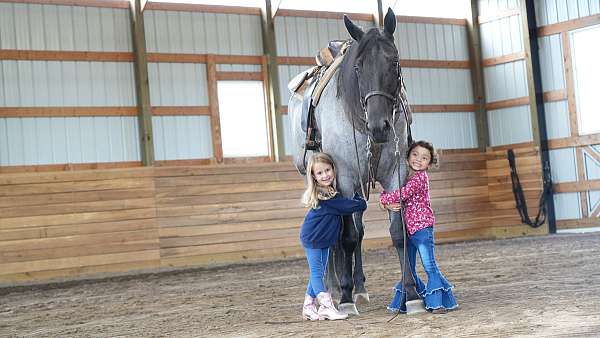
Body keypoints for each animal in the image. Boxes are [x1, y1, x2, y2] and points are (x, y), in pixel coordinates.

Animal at [288, 7, 410, 314]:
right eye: (358, 67)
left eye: (394, 62)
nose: (379, 126)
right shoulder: (342, 177)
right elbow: (345, 237)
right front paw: (343, 297)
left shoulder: (396, 172)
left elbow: (396, 231)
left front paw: (411, 293)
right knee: (334, 234)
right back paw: (332, 289)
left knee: (358, 230)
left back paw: (360, 288)